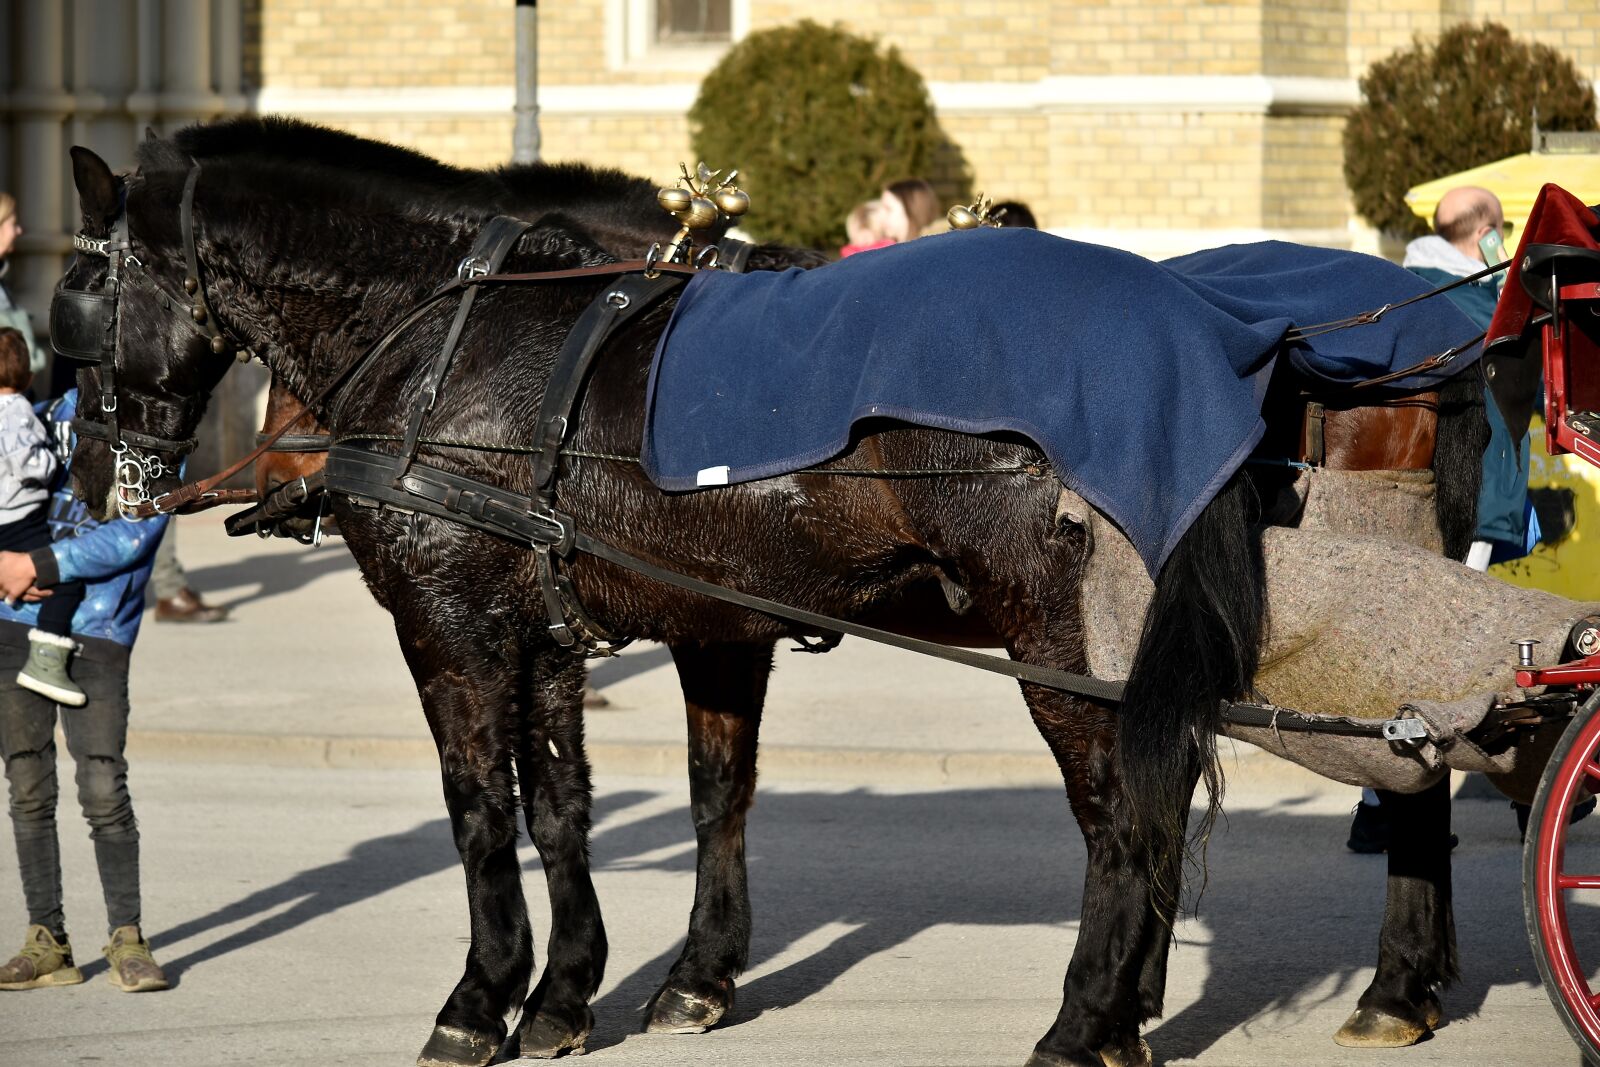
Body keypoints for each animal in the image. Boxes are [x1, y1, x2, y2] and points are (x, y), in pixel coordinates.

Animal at [54, 120, 1505, 1067]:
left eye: (75, 298)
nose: (85, 473)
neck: (471, 333)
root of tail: (1229, 335)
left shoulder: (454, 626)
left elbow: (479, 810)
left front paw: (485, 996)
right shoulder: (604, 629)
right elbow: (600, 802)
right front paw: (587, 987)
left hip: (1067, 637)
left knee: (1122, 812)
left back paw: (1090, 1017)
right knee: (1396, 763)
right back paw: (1356, 985)